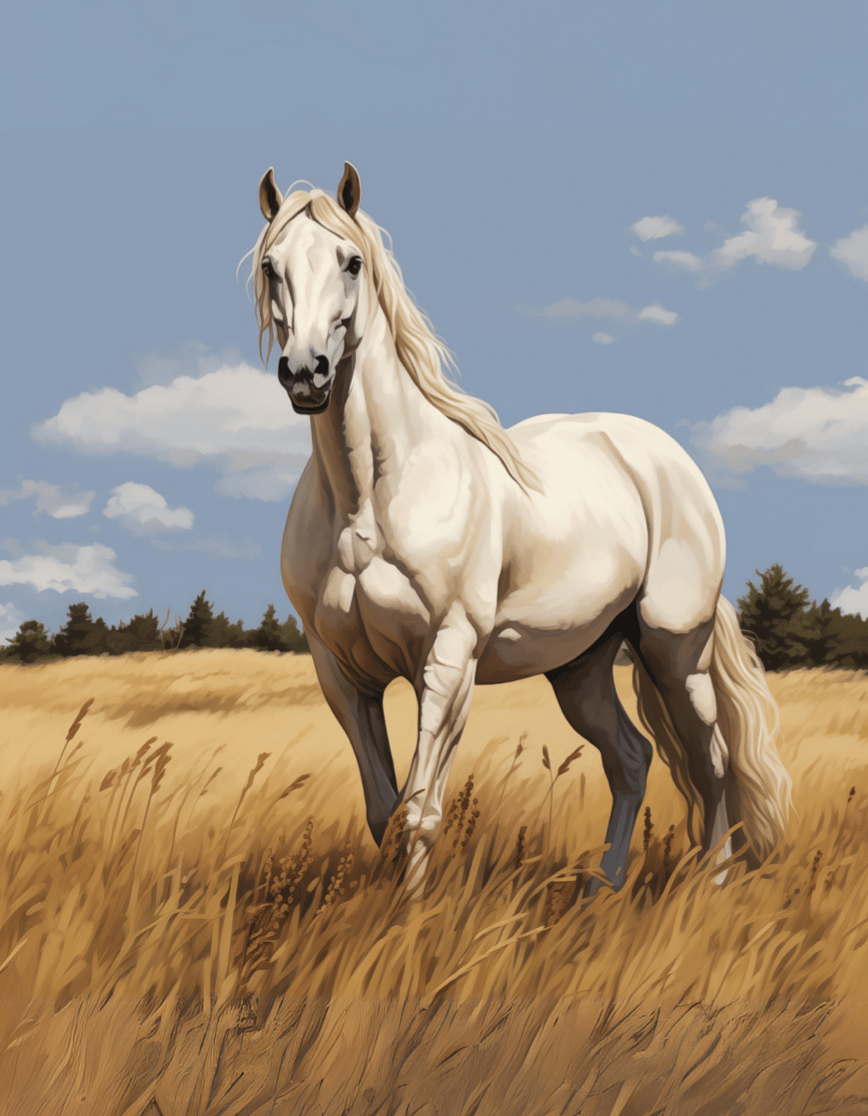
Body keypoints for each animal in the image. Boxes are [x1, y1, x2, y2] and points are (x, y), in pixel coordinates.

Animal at [247, 162, 792, 894]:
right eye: (270, 265)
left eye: (352, 261)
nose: (307, 373)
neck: (367, 501)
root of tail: (665, 458)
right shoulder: (342, 672)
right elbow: (383, 812)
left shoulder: (447, 659)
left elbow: (420, 811)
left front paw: (408, 918)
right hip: (581, 666)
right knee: (631, 758)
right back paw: (601, 888)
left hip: (676, 648)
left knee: (712, 760)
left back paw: (710, 886)